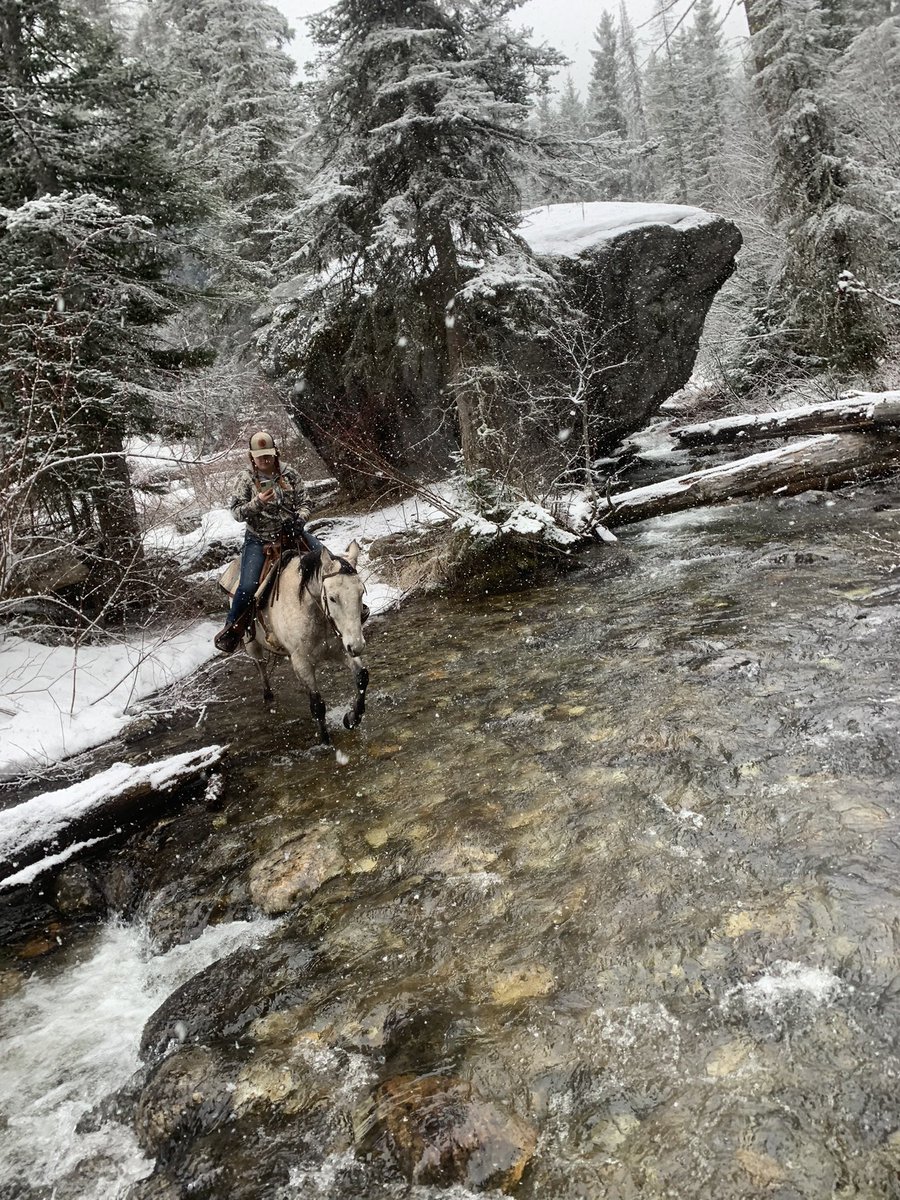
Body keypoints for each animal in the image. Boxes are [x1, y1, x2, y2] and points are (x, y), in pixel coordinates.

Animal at [226, 542, 369, 745]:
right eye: (332, 597)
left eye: (361, 592)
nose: (357, 646)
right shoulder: (302, 662)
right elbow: (317, 705)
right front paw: (326, 741)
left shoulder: (341, 649)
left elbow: (362, 677)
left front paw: (351, 718)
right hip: (251, 643)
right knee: (261, 666)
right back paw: (268, 696)